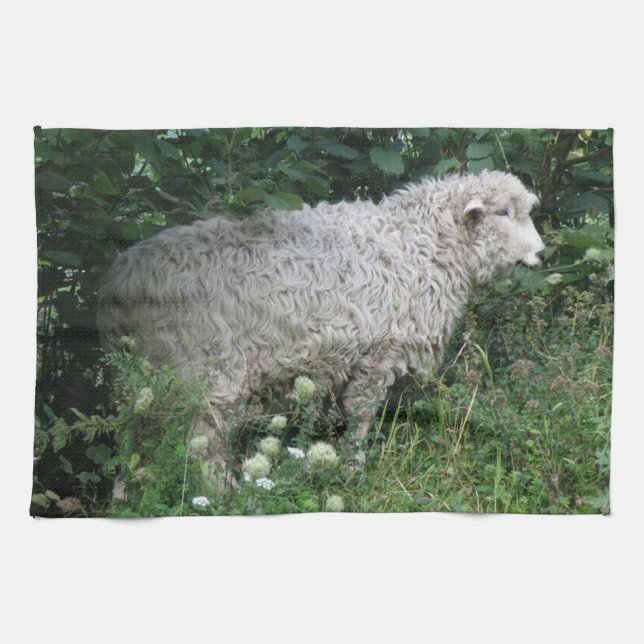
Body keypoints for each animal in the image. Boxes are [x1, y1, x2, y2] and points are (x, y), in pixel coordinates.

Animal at [97, 170, 545, 477]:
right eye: (503, 213)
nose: (542, 254)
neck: (421, 244)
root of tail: (120, 283)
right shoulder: (379, 352)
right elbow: (361, 416)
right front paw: (353, 469)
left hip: (140, 378)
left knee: (131, 438)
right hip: (205, 369)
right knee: (202, 444)